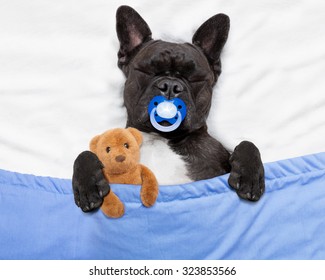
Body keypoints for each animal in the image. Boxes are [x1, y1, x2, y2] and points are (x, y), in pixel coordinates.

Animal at [72, 5, 264, 211]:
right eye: (147, 71)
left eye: (195, 78)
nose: (171, 86)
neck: (161, 138)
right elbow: (85, 154)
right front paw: (88, 186)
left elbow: (246, 143)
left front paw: (249, 178)